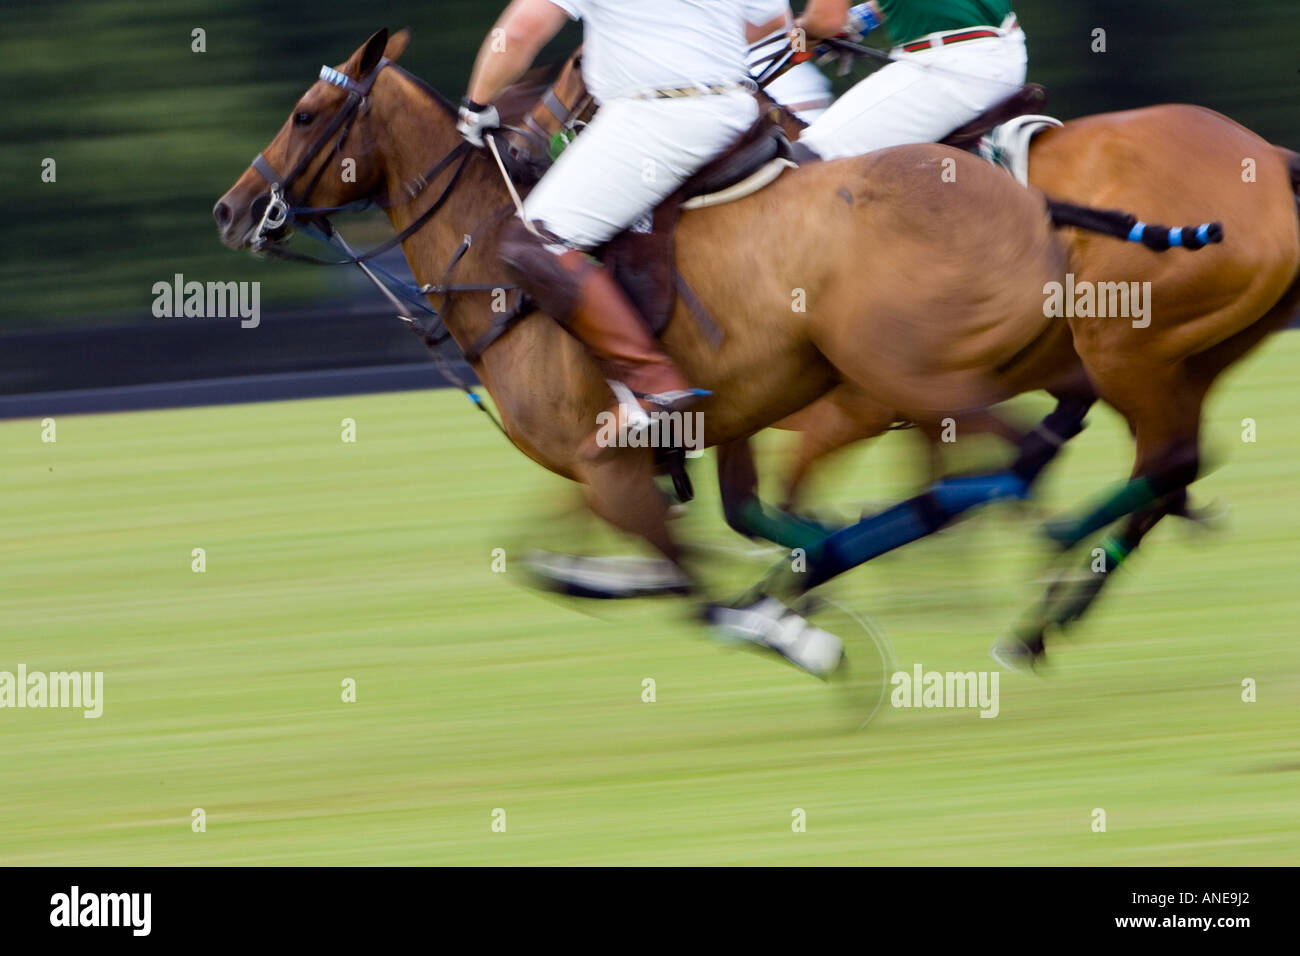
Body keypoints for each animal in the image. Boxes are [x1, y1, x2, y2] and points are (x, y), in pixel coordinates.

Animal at [210, 29, 1097, 671]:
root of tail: (1019, 187)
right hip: (1000, 363)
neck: (493, 264)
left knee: (1014, 462)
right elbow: (663, 544)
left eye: (304, 114)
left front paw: (794, 631)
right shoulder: (681, 442)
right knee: (1046, 440)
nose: (232, 209)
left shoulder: (609, 464)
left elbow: (696, 588)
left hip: (908, 377)